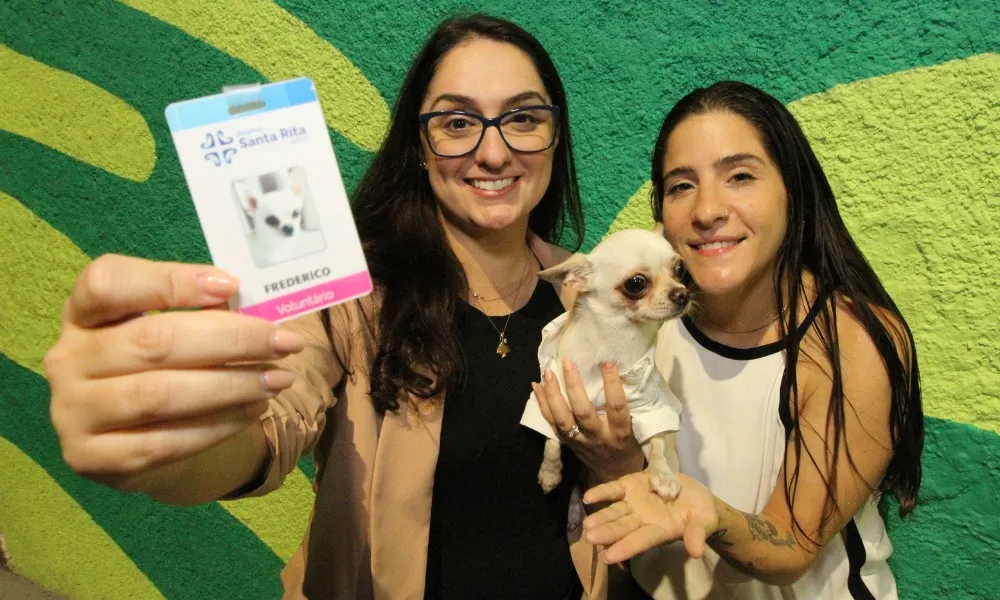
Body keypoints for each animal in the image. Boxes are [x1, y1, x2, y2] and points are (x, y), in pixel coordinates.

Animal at [524, 230, 688, 502]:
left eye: (680, 270)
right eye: (636, 283)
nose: (683, 294)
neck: (616, 342)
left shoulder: (649, 408)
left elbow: (657, 443)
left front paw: (662, 475)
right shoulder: (549, 395)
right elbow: (551, 439)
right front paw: (550, 472)